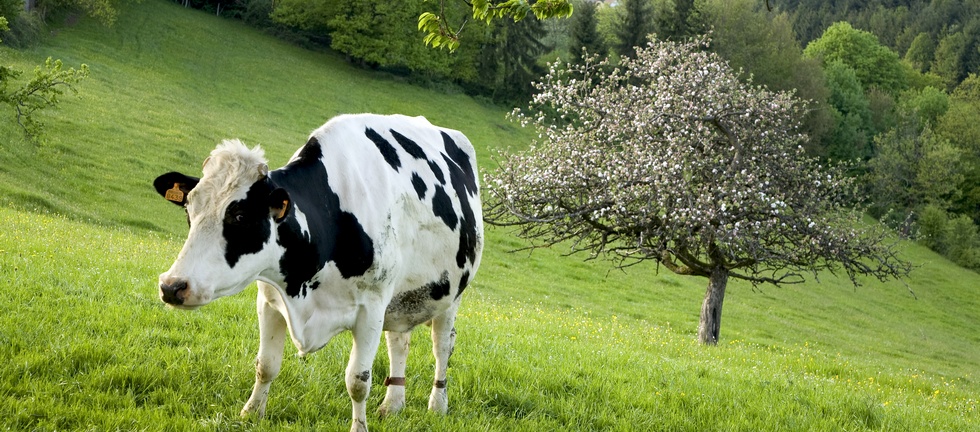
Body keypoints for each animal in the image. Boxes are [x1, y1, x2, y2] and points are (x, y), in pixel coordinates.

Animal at [151, 114, 484, 432]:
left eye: (241, 216)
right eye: (189, 210)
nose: (172, 286)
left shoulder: (372, 308)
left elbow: (357, 381)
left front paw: (359, 427)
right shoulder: (269, 298)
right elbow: (266, 364)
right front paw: (251, 413)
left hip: (450, 295)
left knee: (442, 346)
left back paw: (437, 405)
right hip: (403, 296)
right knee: (399, 342)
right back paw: (393, 405)